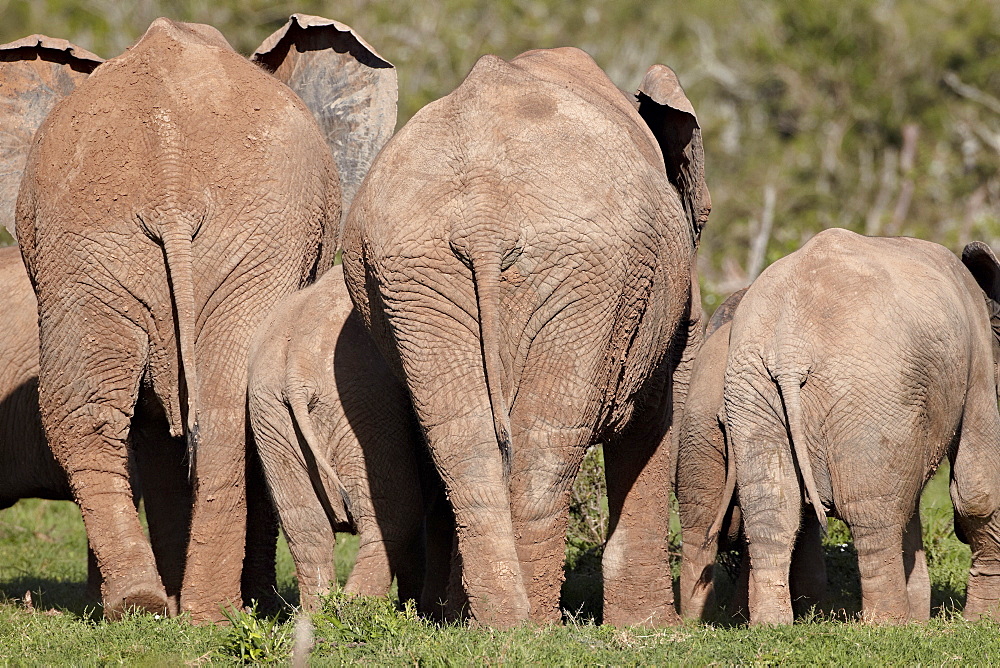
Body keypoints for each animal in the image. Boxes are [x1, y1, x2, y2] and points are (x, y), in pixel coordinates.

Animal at [13, 15, 394, 620]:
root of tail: (169, 186)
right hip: (230, 237)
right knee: (221, 406)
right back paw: (210, 611)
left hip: (88, 245)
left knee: (94, 409)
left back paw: (146, 605)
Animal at [247, 264, 446, 612]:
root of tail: (297, 367)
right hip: (363, 405)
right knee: (395, 513)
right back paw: (358, 610)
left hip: (269, 413)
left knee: (305, 526)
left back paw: (320, 615)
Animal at [344, 48, 712, 628]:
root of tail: (483, 217)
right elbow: (654, 416)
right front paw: (657, 632)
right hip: (587, 272)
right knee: (545, 442)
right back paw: (533, 626)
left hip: (411, 275)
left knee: (463, 443)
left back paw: (493, 622)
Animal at [724, 230, 1000, 628]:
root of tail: (791, 348)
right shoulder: (977, 358)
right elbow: (976, 492)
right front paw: (982, 622)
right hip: (868, 386)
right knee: (872, 513)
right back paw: (889, 625)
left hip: (750, 383)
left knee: (771, 509)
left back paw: (770, 624)